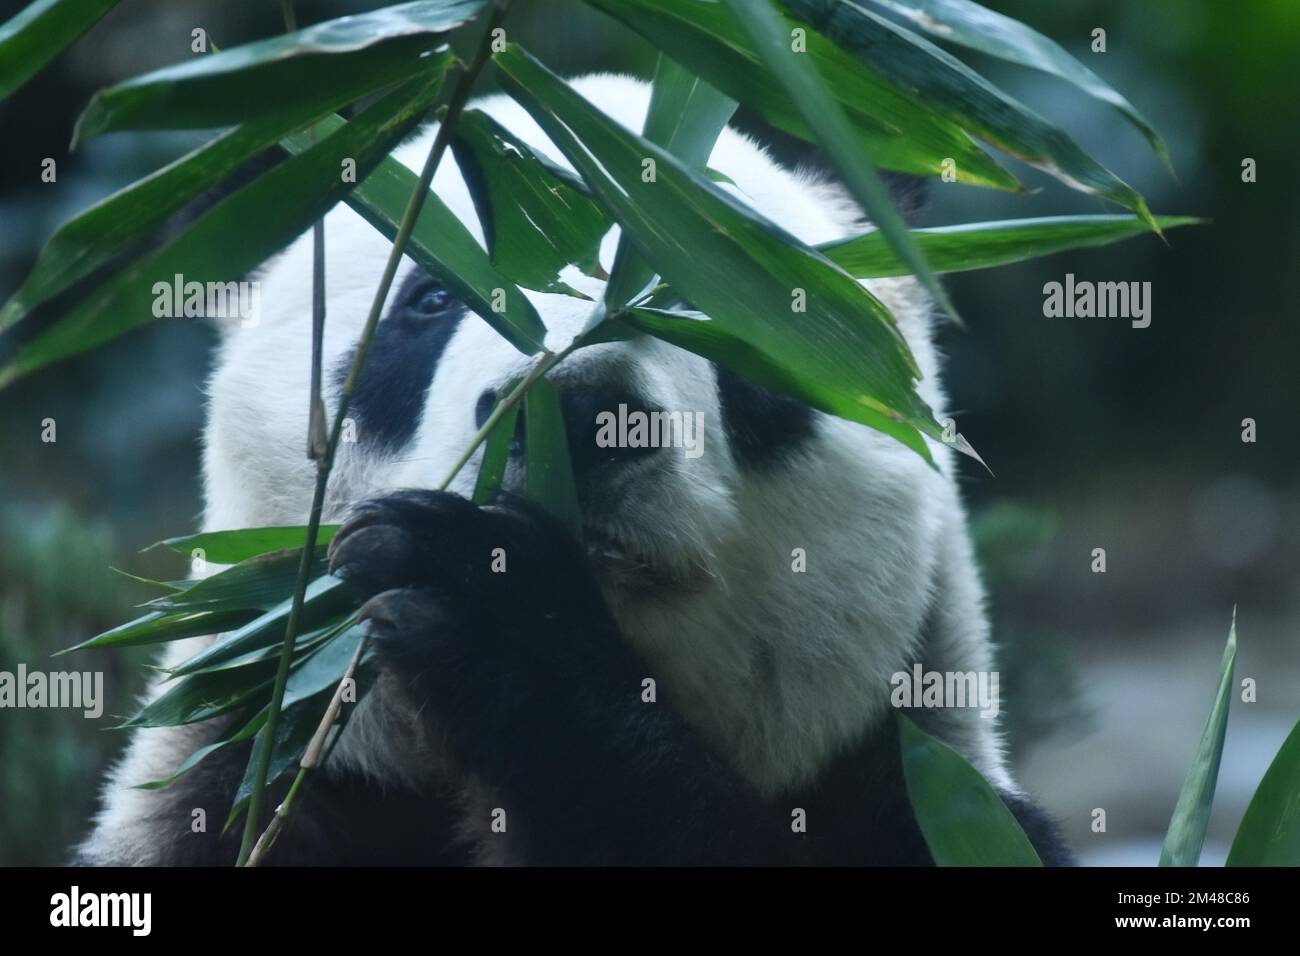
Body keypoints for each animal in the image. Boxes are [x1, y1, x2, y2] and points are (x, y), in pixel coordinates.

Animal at [76, 74, 1071, 866]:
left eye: (741, 323)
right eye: (430, 299)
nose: (580, 414)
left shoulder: (926, 796)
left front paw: (499, 617)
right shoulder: (233, 790)